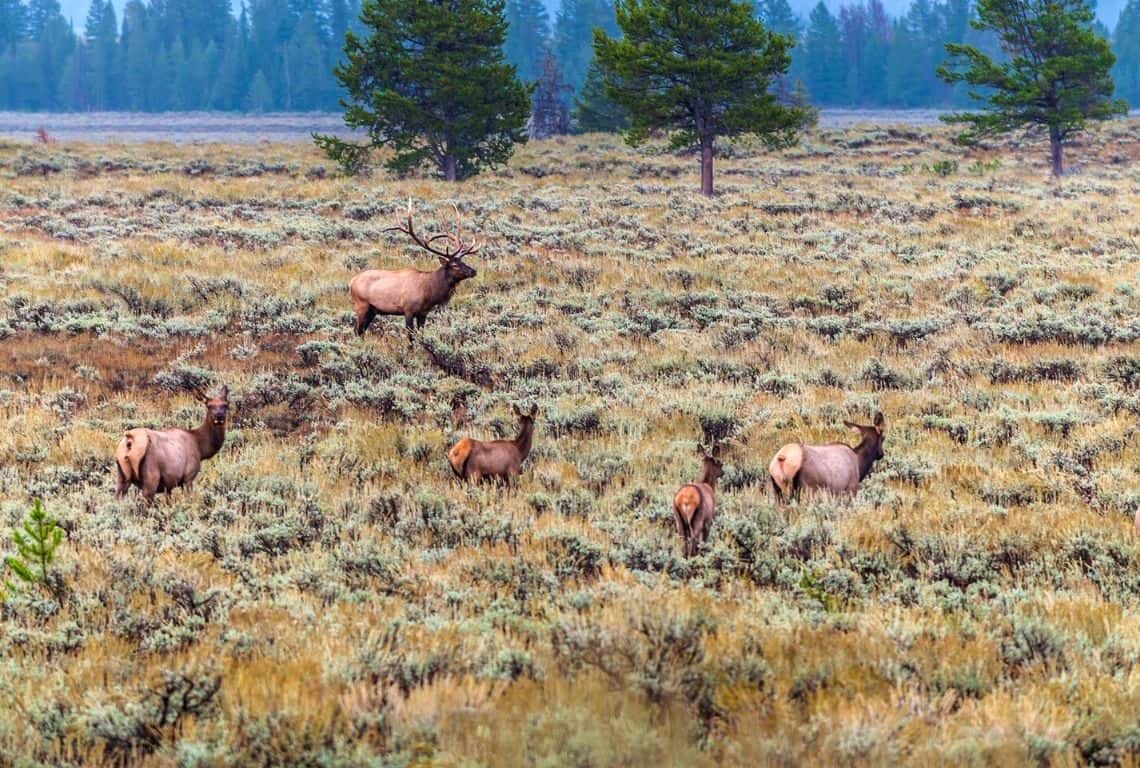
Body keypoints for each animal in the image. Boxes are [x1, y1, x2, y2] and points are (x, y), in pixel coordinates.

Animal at [353, 201, 483, 339]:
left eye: (463, 261)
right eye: (454, 265)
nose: (473, 271)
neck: (429, 293)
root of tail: (351, 282)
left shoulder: (423, 313)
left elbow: (421, 334)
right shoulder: (408, 310)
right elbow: (411, 337)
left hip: (372, 310)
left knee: (361, 331)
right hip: (361, 305)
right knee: (356, 330)